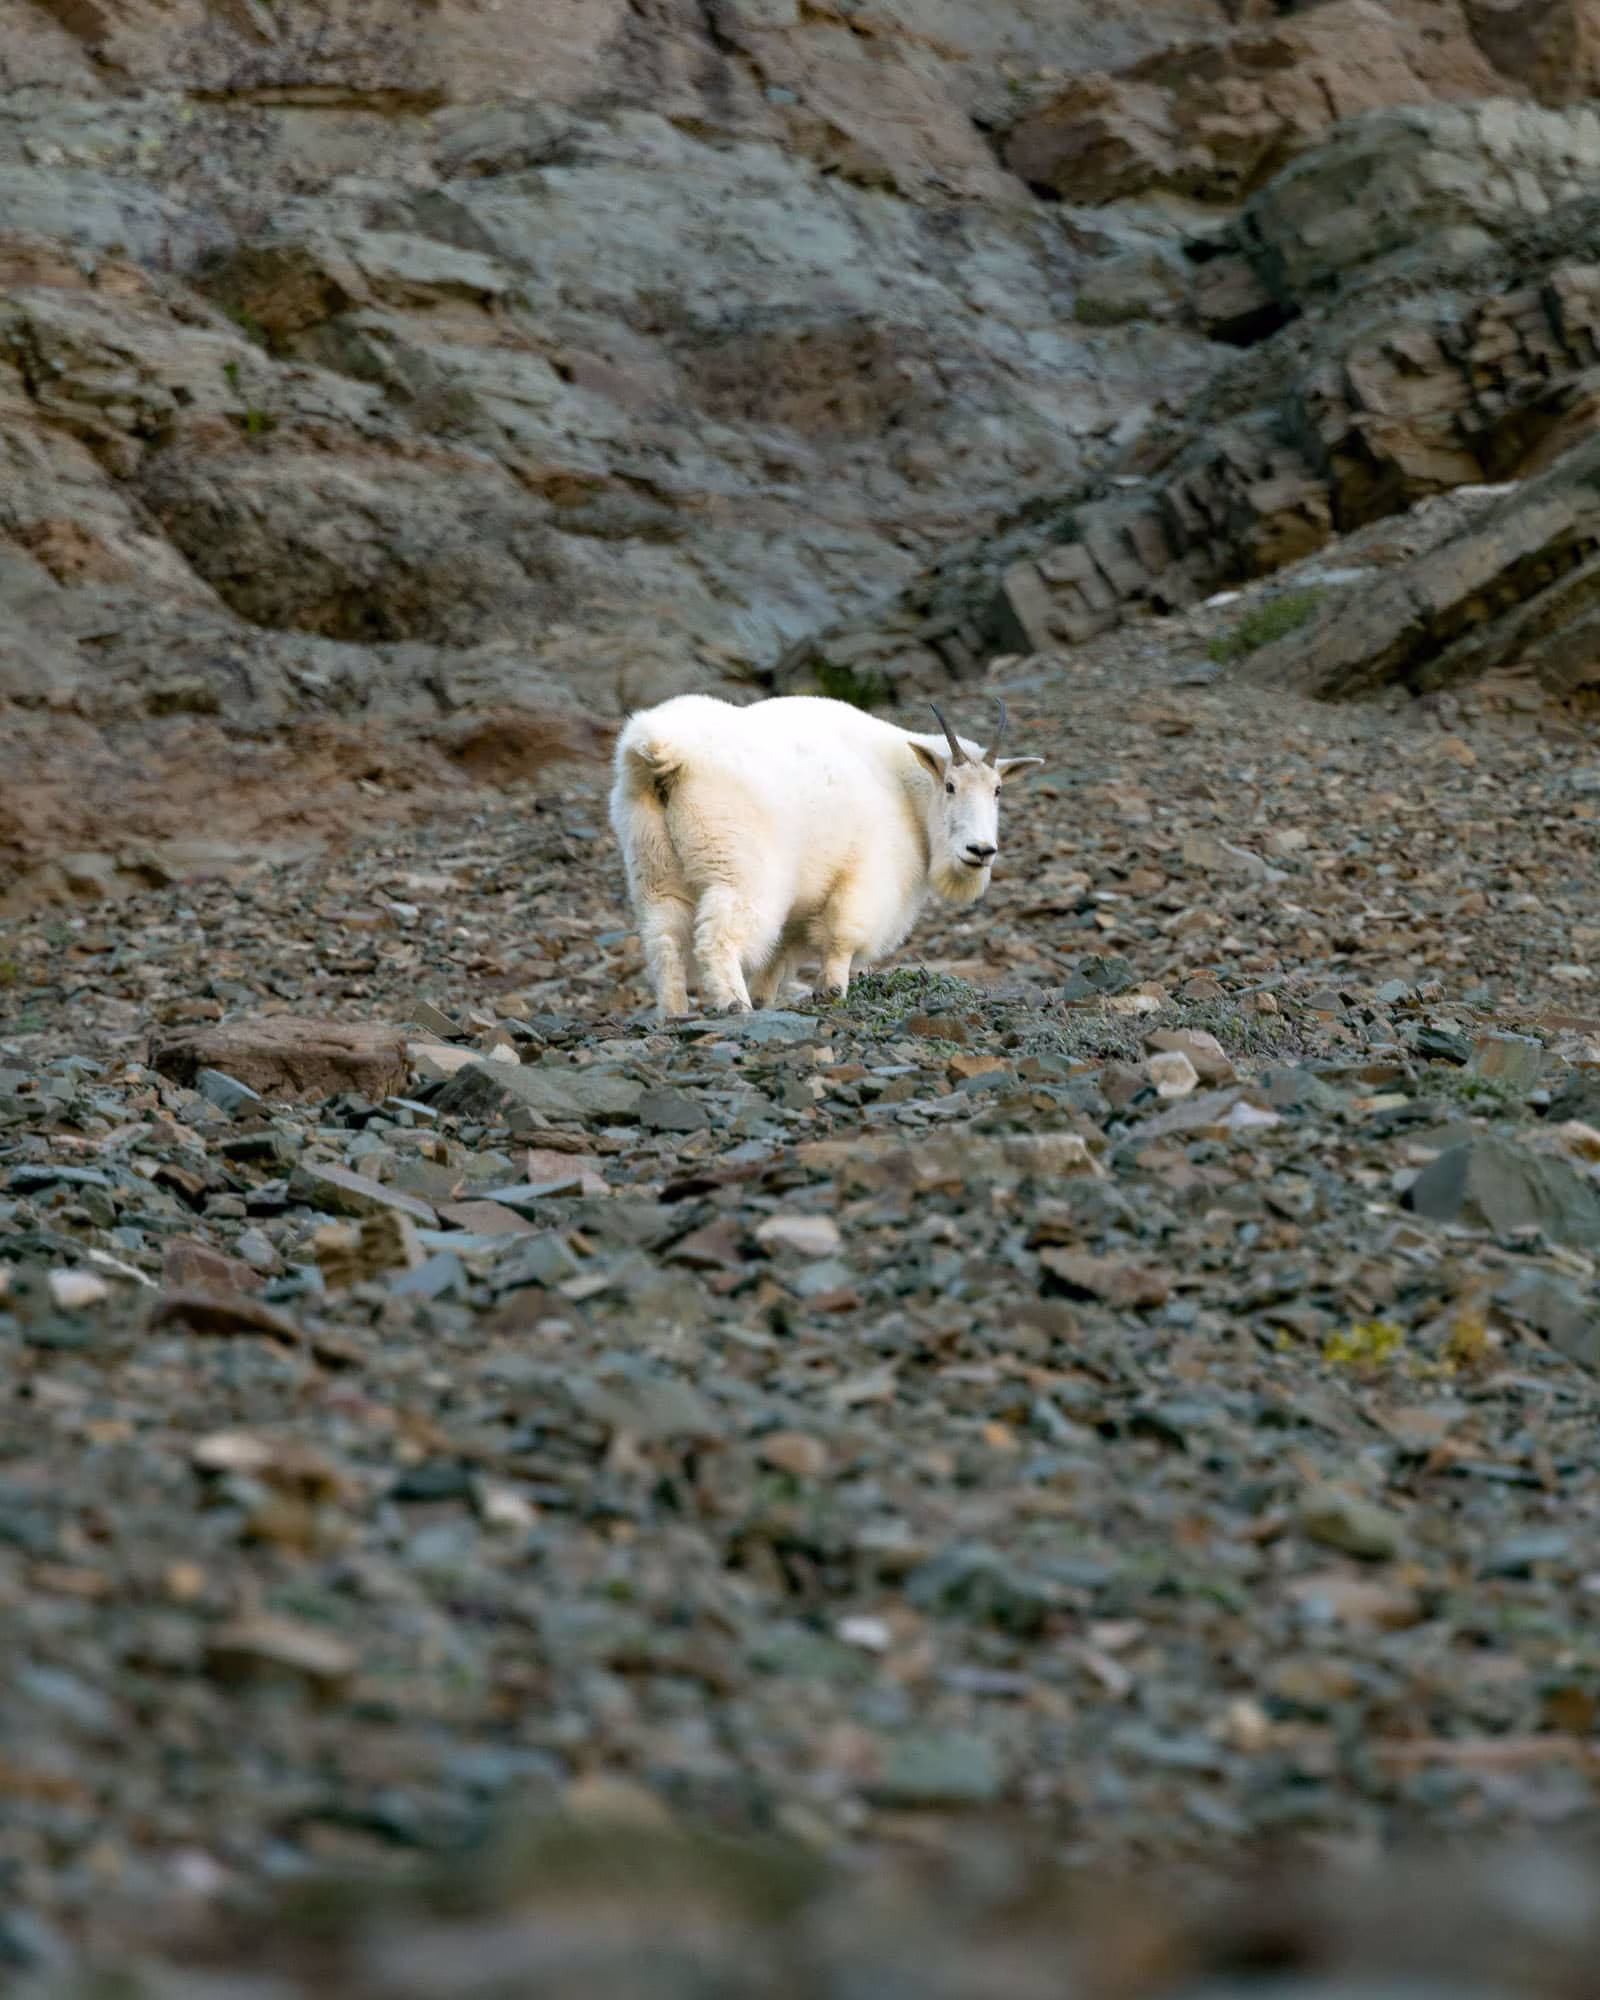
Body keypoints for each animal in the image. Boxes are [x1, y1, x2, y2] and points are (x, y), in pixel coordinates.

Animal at [609, 692, 1044, 1017]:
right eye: (951, 785)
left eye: (997, 790)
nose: (980, 851)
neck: (905, 788)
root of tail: (662, 751)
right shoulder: (865, 875)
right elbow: (842, 936)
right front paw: (832, 991)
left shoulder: (802, 901)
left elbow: (780, 951)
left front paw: (768, 998)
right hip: (738, 869)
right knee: (716, 938)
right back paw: (735, 1004)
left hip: (653, 868)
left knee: (663, 940)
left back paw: (674, 1012)